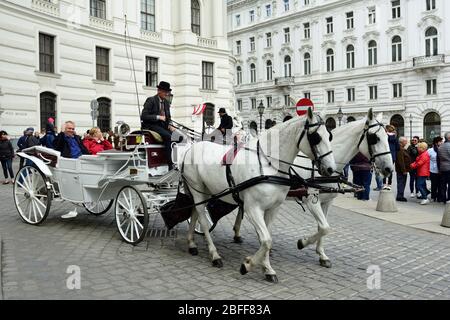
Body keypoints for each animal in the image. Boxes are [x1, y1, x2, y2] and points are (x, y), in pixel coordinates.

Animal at [181, 108, 336, 282]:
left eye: (330, 135)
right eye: (317, 137)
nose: (331, 169)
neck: (268, 165)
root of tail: (191, 148)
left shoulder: (273, 208)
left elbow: (267, 239)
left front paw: (267, 268)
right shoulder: (252, 209)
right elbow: (266, 240)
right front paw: (247, 265)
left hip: (204, 190)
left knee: (194, 212)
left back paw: (191, 244)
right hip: (196, 189)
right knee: (202, 219)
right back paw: (214, 255)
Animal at [232, 107, 394, 268]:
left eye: (387, 138)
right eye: (374, 138)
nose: (389, 169)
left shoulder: (327, 202)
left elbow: (323, 228)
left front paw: (322, 255)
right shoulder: (312, 201)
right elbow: (324, 227)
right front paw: (302, 242)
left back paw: (238, 233)